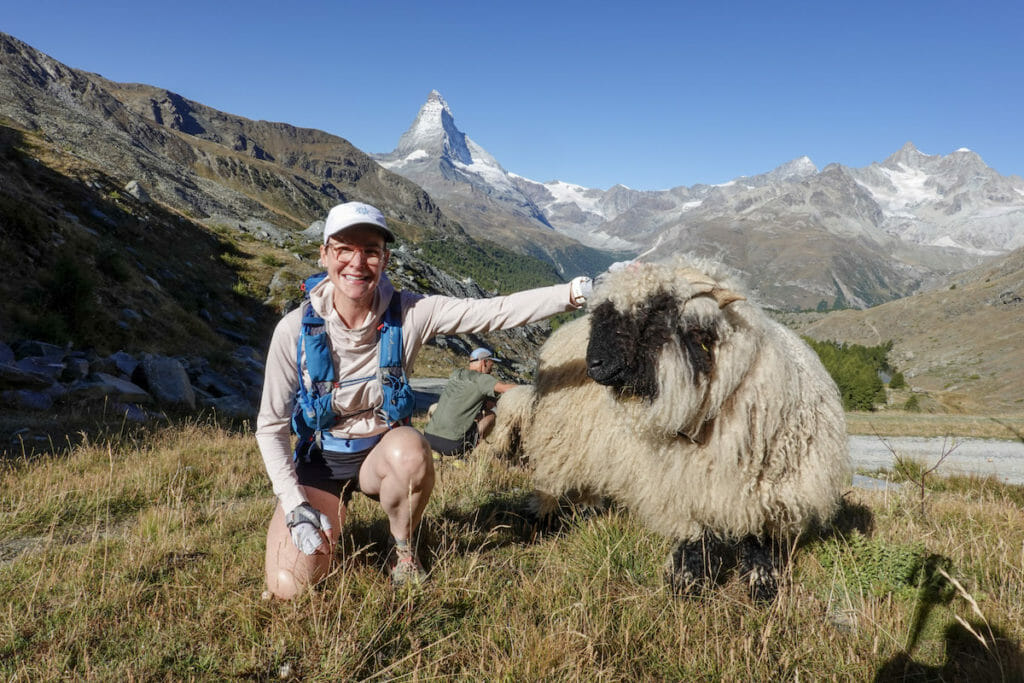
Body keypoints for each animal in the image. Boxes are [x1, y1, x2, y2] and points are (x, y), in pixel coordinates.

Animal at [484, 257, 850, 601]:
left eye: (653, 315)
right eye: (601, 317)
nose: (594, 365)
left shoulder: (766, 491)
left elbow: (758, 541)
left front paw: (762, 587)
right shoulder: (681, 483)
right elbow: (694, 537)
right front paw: (685, 586)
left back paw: (589, 512)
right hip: (561, 438)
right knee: (552, 478)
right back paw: (542, 519)